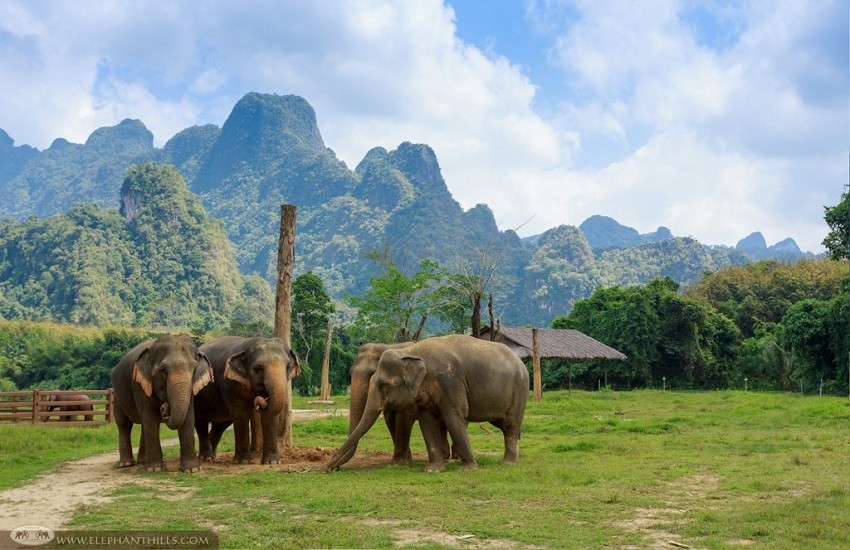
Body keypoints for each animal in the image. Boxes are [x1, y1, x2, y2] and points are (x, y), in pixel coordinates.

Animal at [111, 334, 214, 472]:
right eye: (163, 369)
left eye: (194, 369)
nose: (165, 408)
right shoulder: (140, 385)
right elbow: (150, 418)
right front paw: (155, 469)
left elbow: (187, 417)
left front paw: (192, 470)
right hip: (116, 394)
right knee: (124, 424)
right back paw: (127, 464)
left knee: (143, 425)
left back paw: (142, 461)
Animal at [193, 336, 300, 465]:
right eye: (258, 368)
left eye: (288, 366)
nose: (260, 399)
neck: (245, 345)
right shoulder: (230, 383)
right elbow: (241, 414)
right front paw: (244, 461)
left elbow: (270, 415)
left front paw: (272, 462)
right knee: (201, 423)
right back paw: (206, 458)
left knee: (220, 425)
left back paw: (212, 456)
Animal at [325, 334, 529, 472]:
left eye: (382, 384)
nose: (328, 468)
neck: (409, 352)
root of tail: (520, 361)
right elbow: (424, 421)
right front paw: (429, 469)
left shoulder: (450, 381)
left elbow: (450, 416)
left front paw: (468, 468)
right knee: (501, 424)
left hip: (519, 390)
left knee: (509, 424)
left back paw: (506, 463)